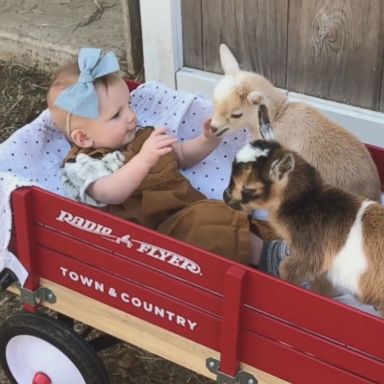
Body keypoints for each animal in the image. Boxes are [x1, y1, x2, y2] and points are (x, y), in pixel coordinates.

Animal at [224, 140, 384, 314]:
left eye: (249, 188)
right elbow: (322, 286)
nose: (225, 196)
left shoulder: (311, 254)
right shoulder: (322, 268)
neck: (307, 201)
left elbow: (285, 267)